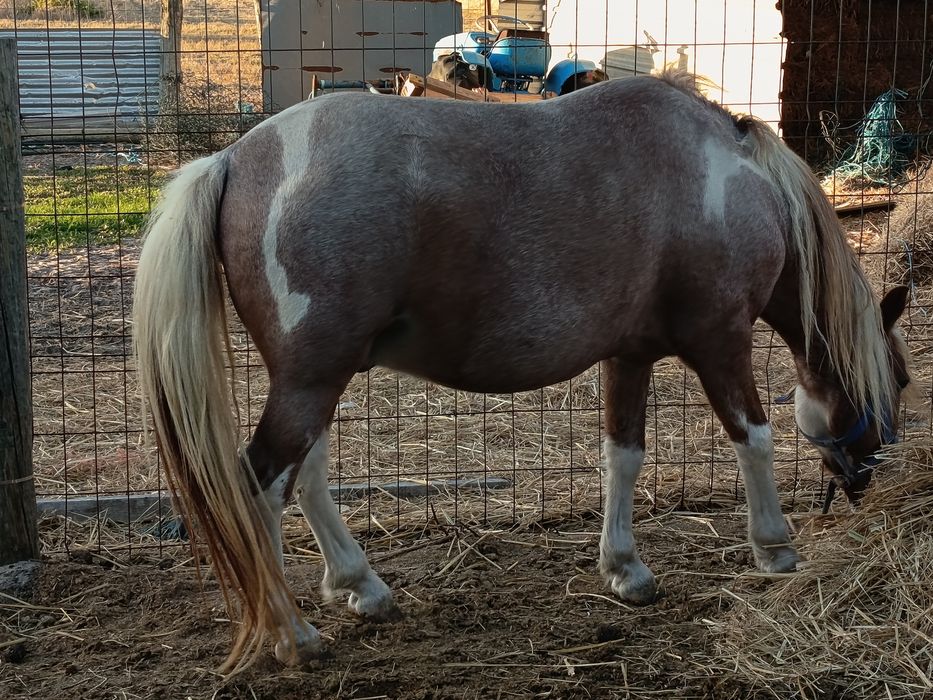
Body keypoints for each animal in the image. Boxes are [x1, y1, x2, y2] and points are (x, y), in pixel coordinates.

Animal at [133, 69, 912, 673]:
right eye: (901, 383)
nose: (865, 480)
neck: (725, 174)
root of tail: (237, 157)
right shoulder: (719, 341)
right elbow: (753, 437)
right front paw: (774, 547)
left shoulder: (630, 355)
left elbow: (622, 456)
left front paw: (625, 569)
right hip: (310, 379)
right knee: (262, 487)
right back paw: (295, 635)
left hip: (318, 377)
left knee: (310, 476)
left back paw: (360, 586)